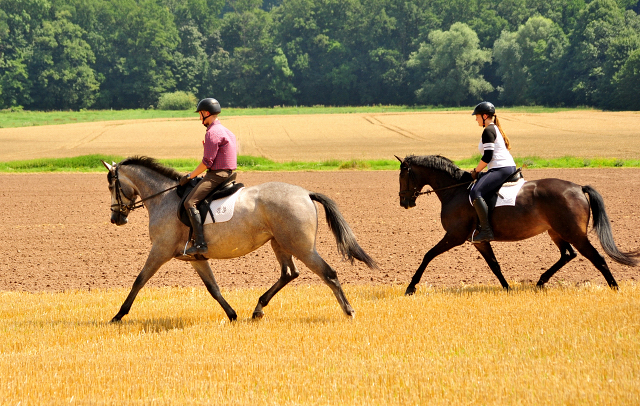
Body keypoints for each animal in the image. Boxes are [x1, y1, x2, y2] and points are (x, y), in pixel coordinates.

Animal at [102, 157, 378, 322]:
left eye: (111, 186)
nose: (116, 218)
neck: (164, 197)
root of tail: (306, 194)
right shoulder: (196, 258)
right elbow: (213, 288)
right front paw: (232, 314)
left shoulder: (160, 250)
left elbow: (139, 280)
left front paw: (118, 315)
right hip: (279, 243)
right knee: (289, 273)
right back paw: (258, 309)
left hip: (302, 247)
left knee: (328, 273)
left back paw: (348, 311)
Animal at [398, 154, 636, 294]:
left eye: (403, 177)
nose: (404, 202)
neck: (455, 190)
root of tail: (578, 187)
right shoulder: (479, 241)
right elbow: (494, 264)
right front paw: (507, 289)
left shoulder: (454, 236)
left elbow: (427, 255)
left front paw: (411, 287)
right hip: (556, 232)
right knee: (568, 254)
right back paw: (540, 282)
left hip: (574, 234)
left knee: (597, 258)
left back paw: (615, 288)